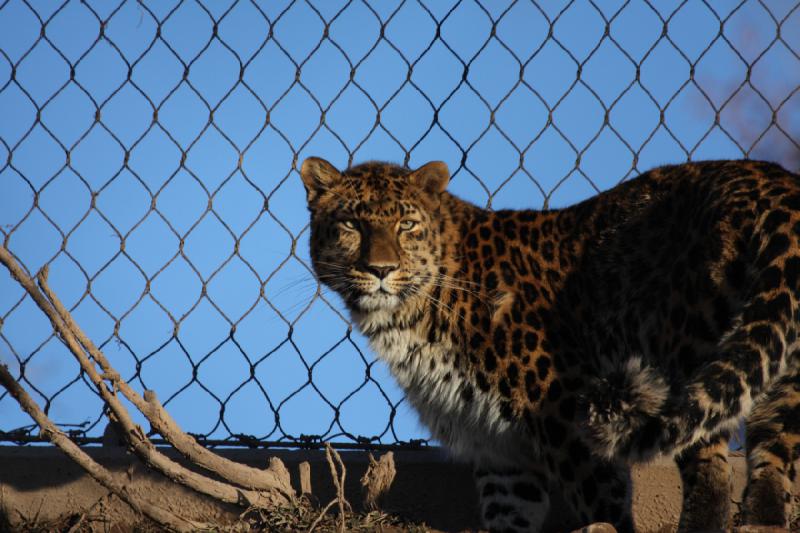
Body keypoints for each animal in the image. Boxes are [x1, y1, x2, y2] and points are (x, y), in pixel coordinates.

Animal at [300, 155, 800, 532]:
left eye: (406, 224)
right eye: (350, 223)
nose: (381, 269)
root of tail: (774, 181)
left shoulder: (563, 413)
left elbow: (605, 502)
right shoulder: (500, 450)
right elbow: (509, 514)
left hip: (684, 353)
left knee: (711, 468)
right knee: (774, 463)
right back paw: (763, 522)